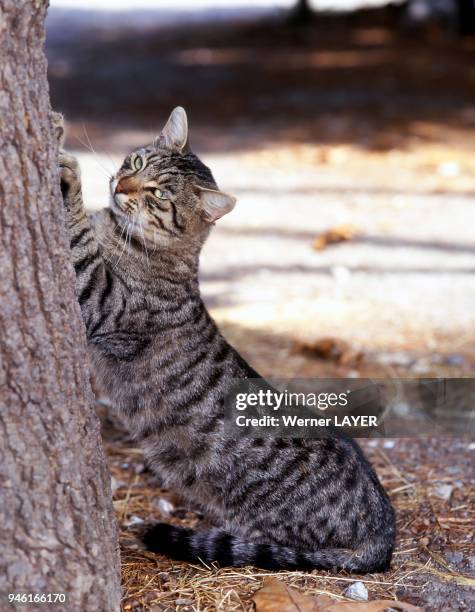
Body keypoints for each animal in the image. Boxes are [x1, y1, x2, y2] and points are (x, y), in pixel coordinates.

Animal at [55, 107, 396, 572]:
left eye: (158, 194)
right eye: (138, 163)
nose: (120, 184)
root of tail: (385, 532)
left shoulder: (103, 299)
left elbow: (78, 240)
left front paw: (69, 173)